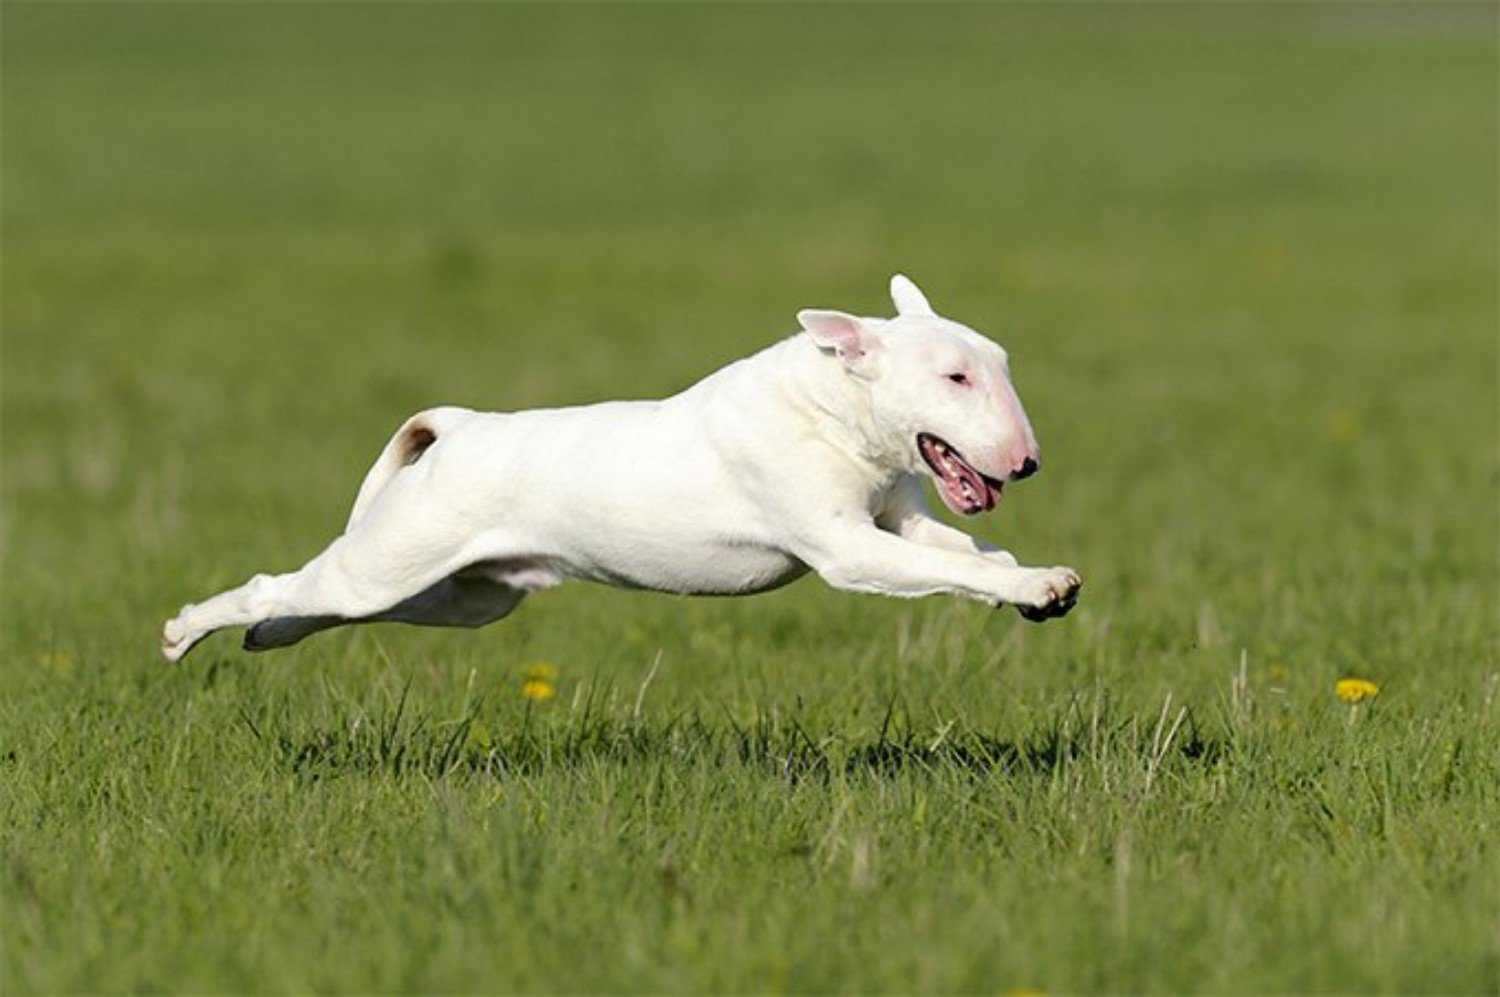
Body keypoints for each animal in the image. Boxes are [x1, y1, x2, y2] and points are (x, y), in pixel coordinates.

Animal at [161, 272, 1080, 659]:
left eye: (998, 363)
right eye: (955, 377)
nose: (1029, 461)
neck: (830, 407)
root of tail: (456, 429)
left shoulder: (901, 515)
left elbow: (969, 551)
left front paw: (1043, 583)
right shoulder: (846, 546)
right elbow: (945, 568)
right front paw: (1035, 587)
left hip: (467, 595)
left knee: (324, 605)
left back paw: (267, 636)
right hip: (393, 558)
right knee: (284, 583)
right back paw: (184, 632)